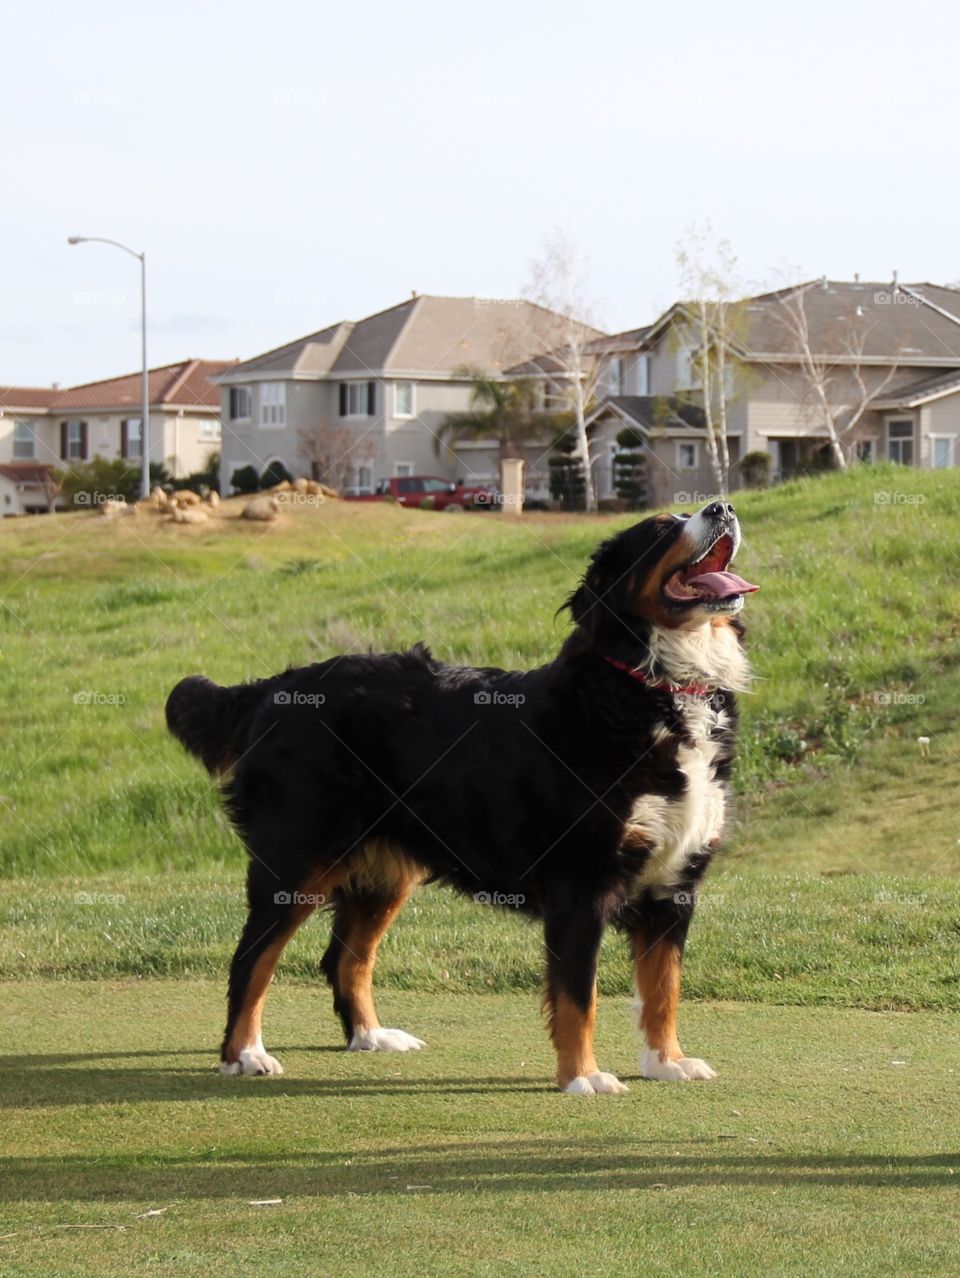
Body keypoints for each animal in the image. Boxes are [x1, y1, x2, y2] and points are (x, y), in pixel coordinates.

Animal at [168, 495, 761, 1088]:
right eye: (662, 530)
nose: (723, 506)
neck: (655, 688)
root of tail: (276, 686)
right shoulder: (580, 886)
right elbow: (579, 997)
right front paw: (582, 1077)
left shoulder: (674, 887)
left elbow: (664, 990)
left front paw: (667, 1062)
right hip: (296, 862)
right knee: (251, 959)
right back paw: (245, 1053)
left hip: (385, 872)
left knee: (345, 958)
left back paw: (371, 1035)